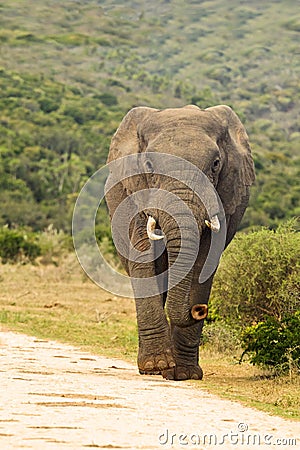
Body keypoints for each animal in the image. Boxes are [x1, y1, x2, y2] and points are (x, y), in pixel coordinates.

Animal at [105, 104, 255, 380]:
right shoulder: (135, 193)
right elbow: (143, 258)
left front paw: (184, 373)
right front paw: (157, 367)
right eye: (148, 164)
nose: (200, 310)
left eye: (216, 164)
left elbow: (203, 265)